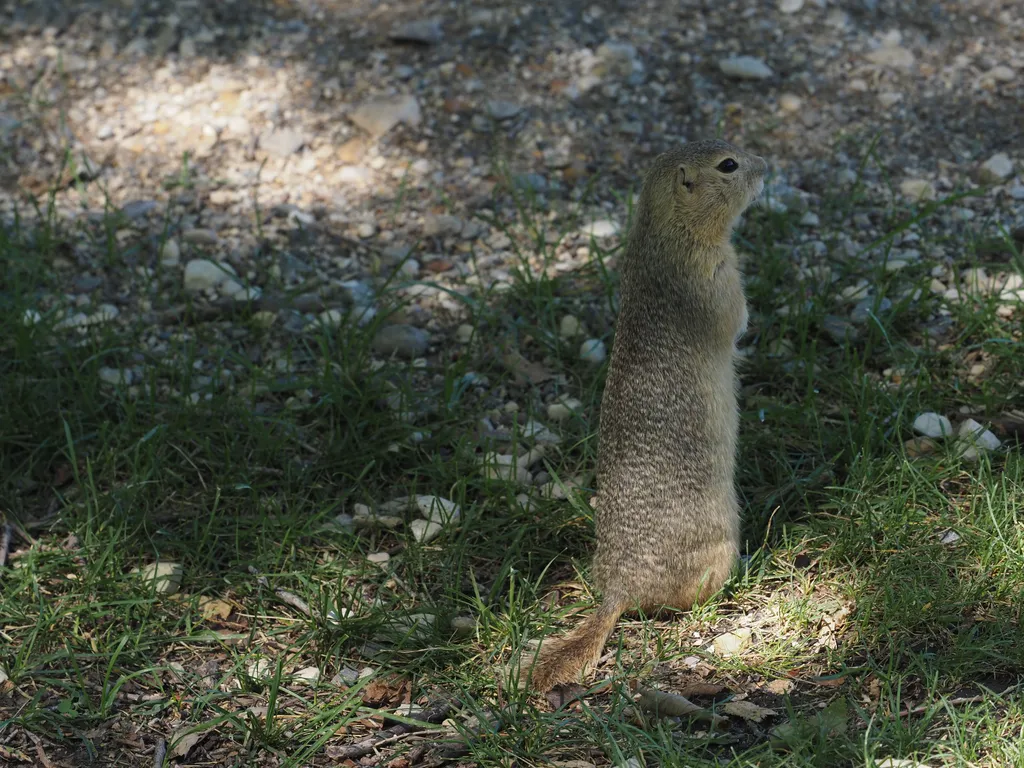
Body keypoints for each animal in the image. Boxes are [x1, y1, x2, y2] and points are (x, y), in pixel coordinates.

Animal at [520, 140, 770, 696]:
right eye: (728, 165)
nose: (766, 166)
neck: (660, 234)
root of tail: (617, 590)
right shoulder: (714, 277)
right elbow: (735, 318)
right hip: (716, 546)